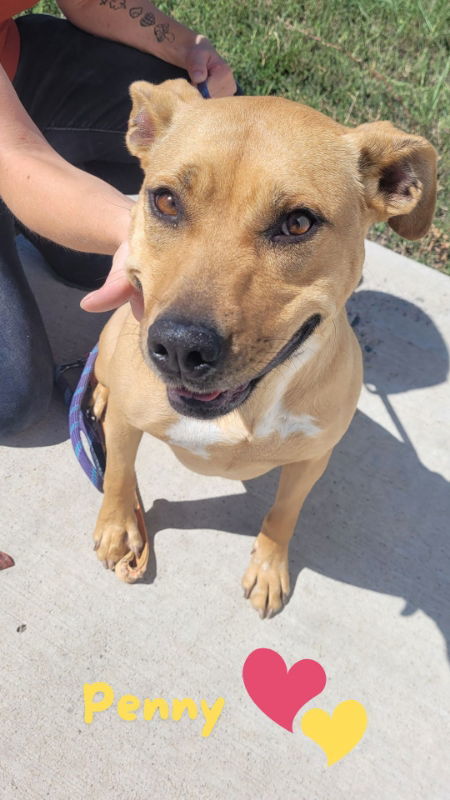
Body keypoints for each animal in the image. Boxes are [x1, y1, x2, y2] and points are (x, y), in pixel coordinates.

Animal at [90, 79, 436, 620]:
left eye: (298, 223)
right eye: (165, 201)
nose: (180, 346)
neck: (249, 407)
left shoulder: (312, 460)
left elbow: (284, 512)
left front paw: (270, 566)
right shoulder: (129, 426)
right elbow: (120, 474)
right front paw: (119, 527)